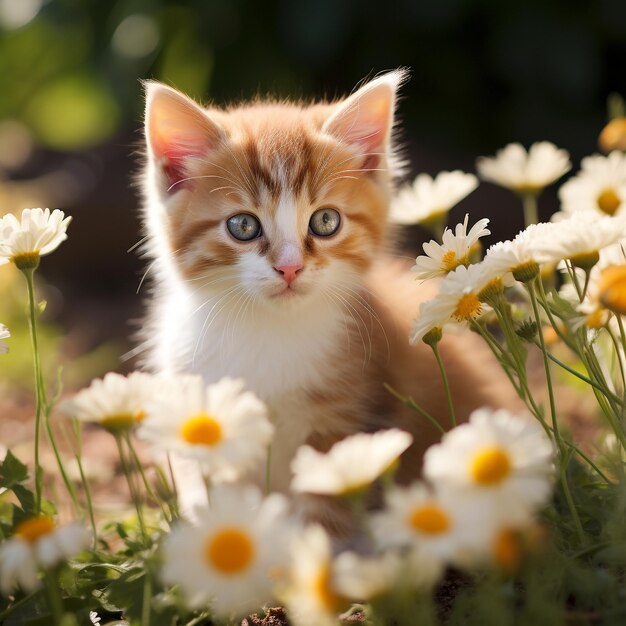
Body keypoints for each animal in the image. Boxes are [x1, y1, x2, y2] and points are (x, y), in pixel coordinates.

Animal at [138, 69, 516, 528]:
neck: (267, 329)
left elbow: (325, 515)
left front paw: (312, 549)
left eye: (325, 221)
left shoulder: (346, 423)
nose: (289, 268)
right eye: (242, 225)